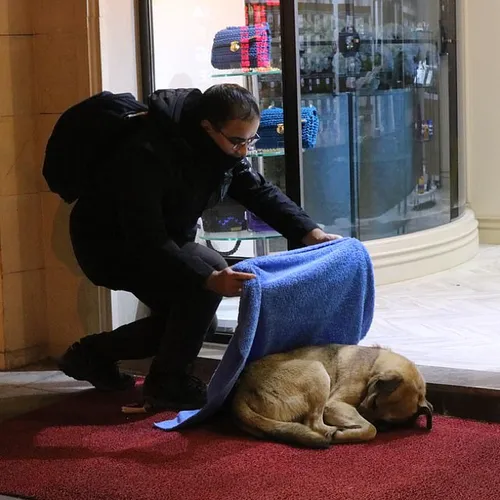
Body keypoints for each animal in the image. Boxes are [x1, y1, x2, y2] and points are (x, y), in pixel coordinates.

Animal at [232, 344, 432, 450]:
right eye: (374, 402)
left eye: (386, 424)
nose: (360, 411)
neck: (373, 366)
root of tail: (242, 390)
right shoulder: (334, 405)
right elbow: (370, 429)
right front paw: (347, 432)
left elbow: (371, 427)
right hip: (317, 371)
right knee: (314, 424)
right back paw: (333, 433)